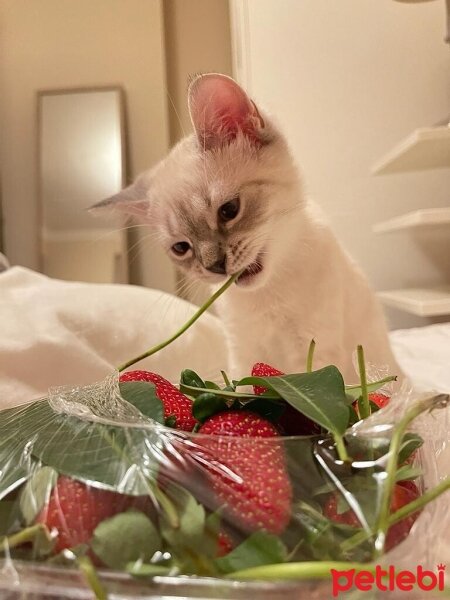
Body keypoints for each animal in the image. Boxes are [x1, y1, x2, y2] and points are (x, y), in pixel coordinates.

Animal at [93, 72, 400, 382]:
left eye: (229, 210)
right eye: (181, 248)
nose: (215, 266)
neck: (267, 293)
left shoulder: (313, 350)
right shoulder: (243, 352)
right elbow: (243, 387)